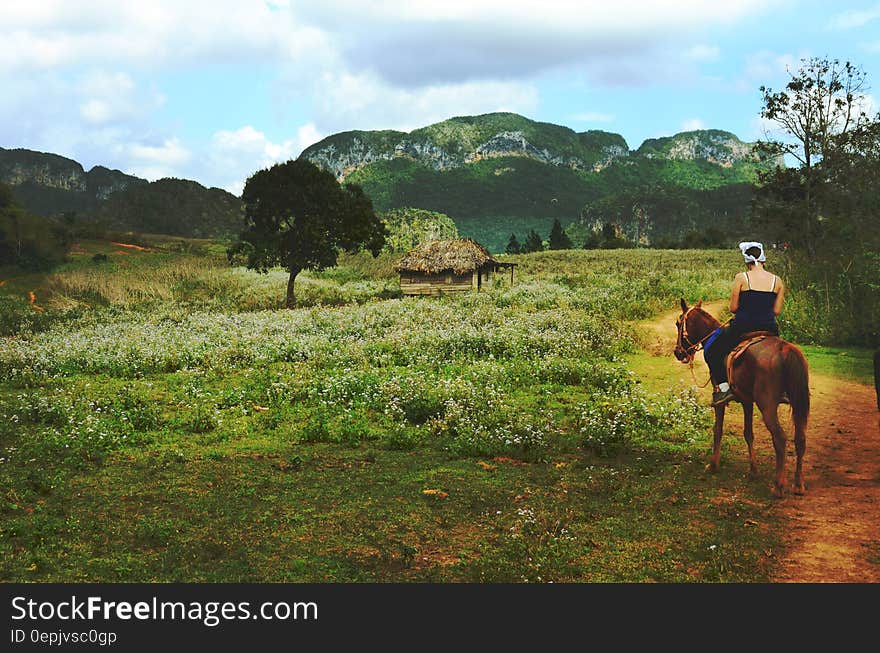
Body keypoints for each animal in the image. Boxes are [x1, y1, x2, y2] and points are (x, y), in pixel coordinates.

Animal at [672, 300, 812, 494]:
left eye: (678, 324)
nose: (678, 352)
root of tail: (785, 349)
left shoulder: (719, 400)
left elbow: (718, 429)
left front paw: (713, 465)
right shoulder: (747, 400)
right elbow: (748, 433)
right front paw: (753, 470)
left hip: (767, 405)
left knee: (780, 438)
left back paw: (778, 485)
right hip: (799, 403)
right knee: (800, 439)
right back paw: (798, 484)